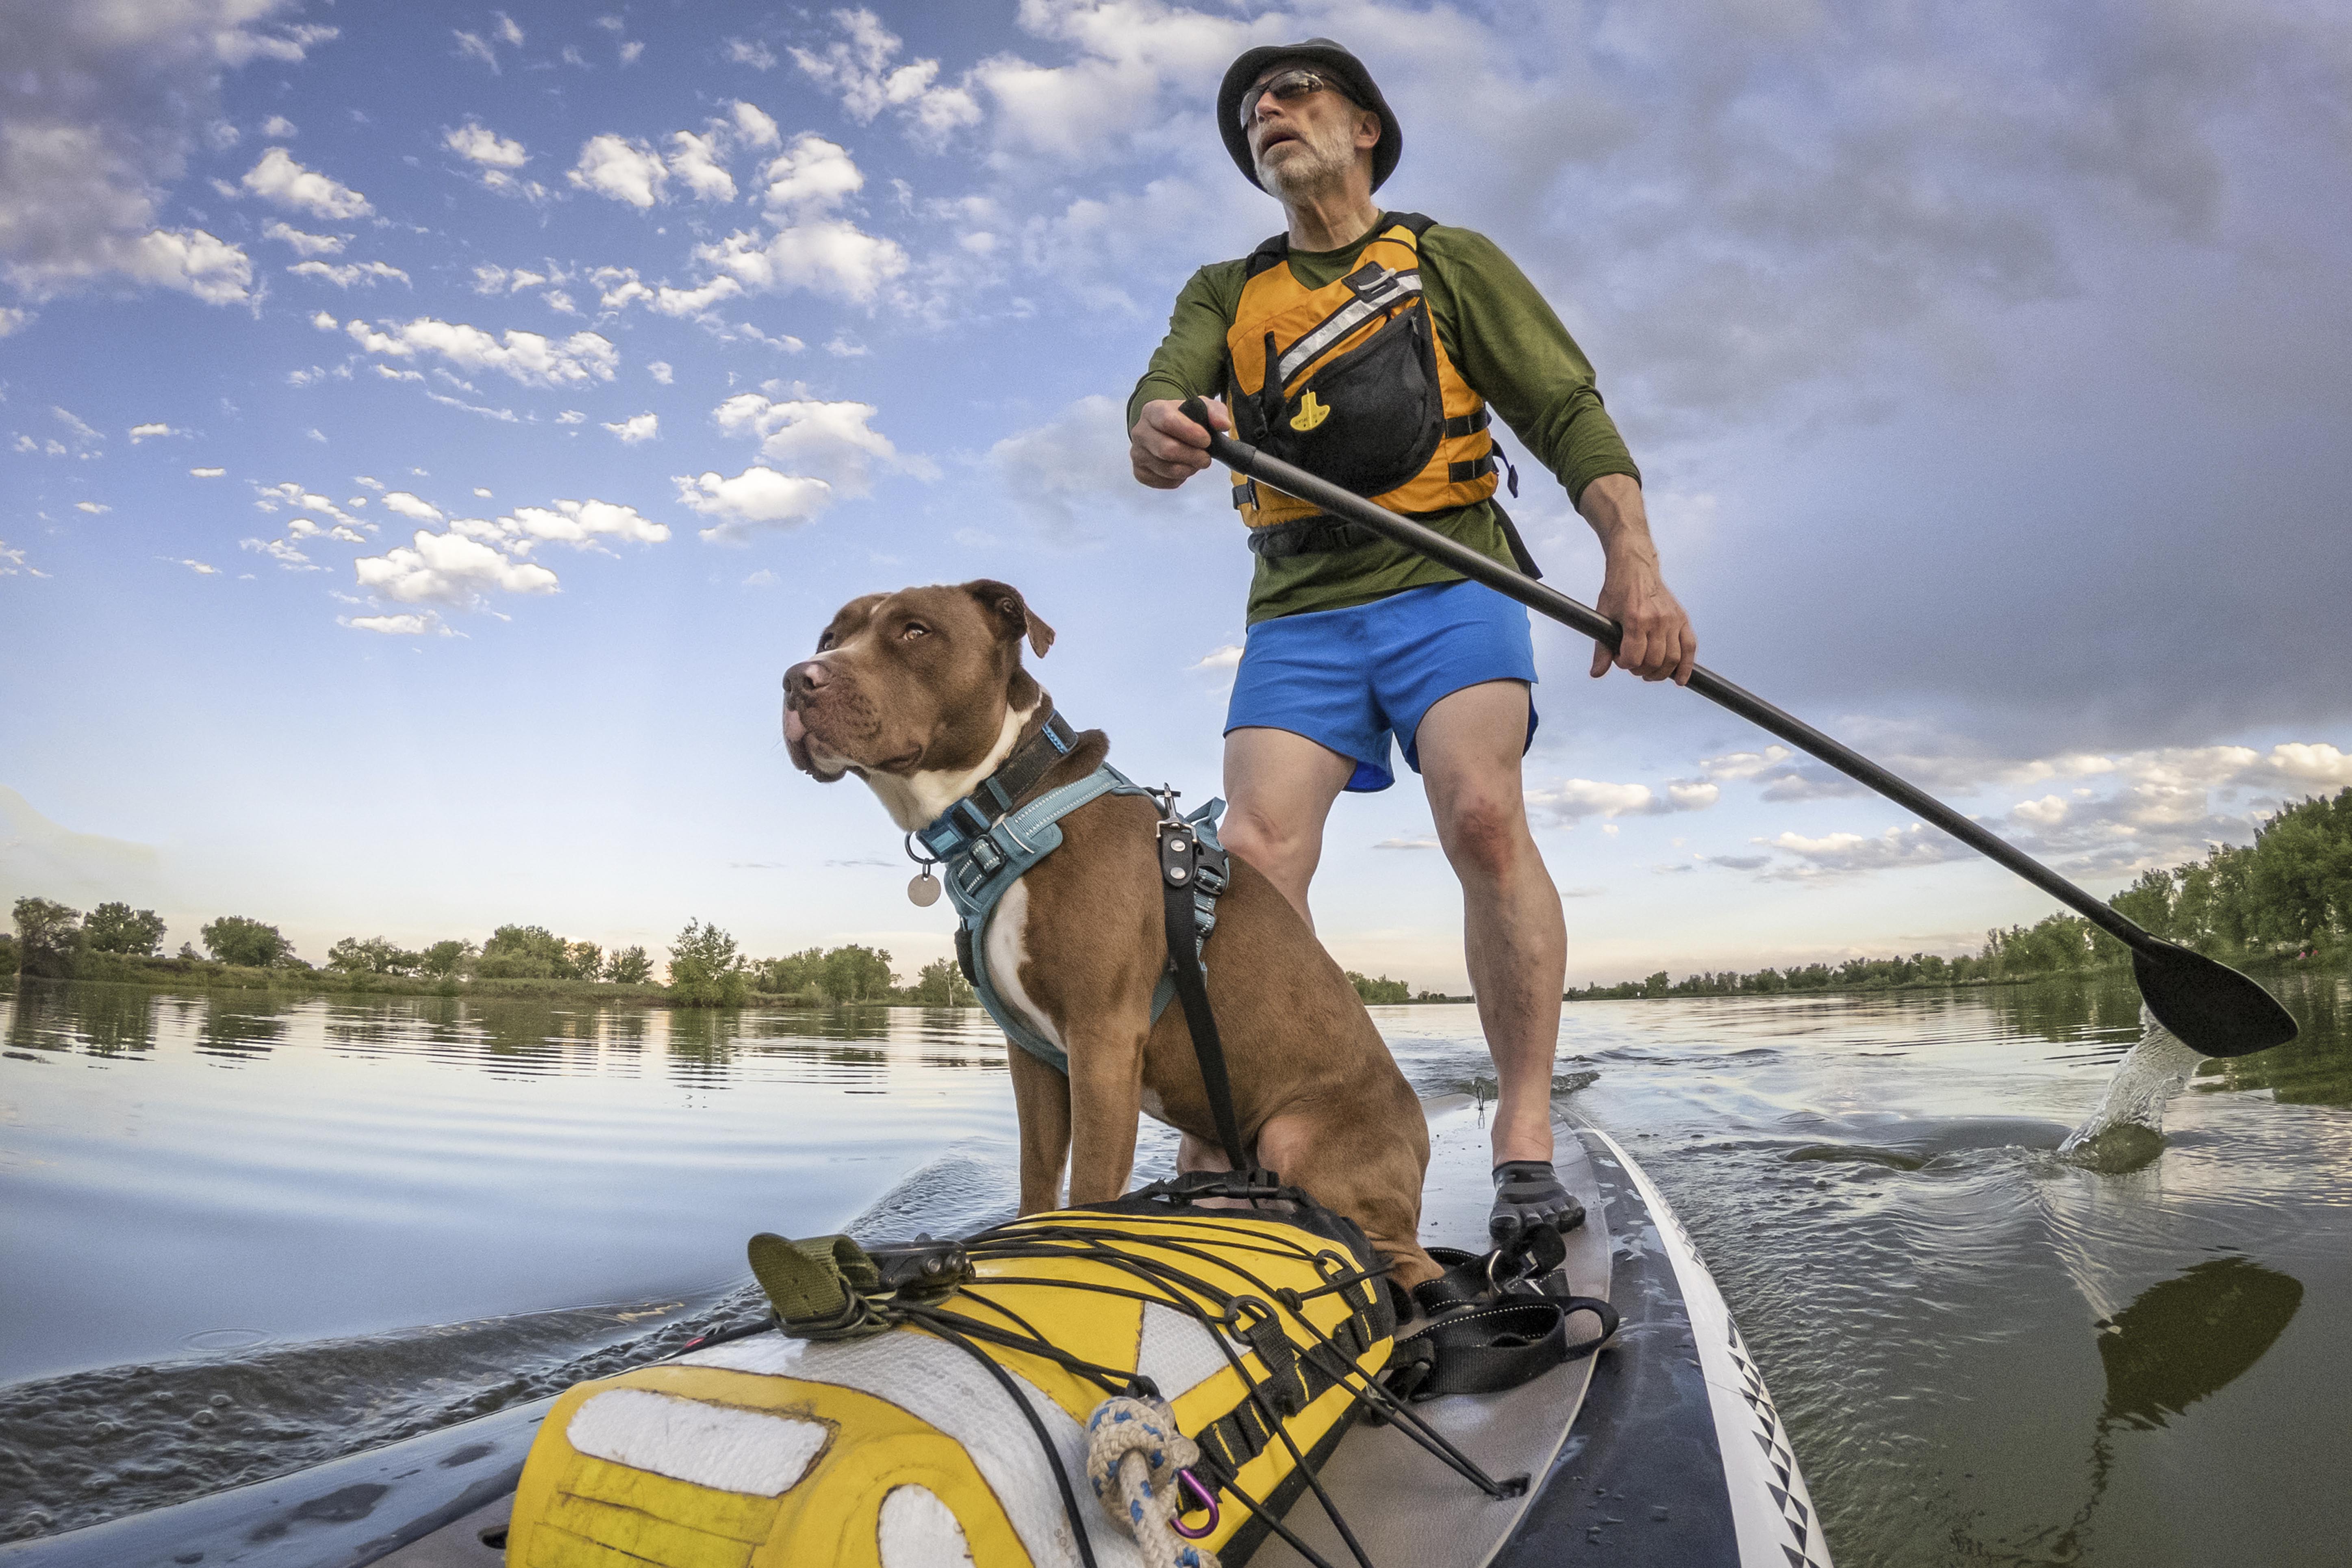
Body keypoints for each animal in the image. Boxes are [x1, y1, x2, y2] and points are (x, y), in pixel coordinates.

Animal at [781, 576, 1439, 1288]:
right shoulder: (1035, 1059)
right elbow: (1038, 1182)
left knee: (1401, 1256)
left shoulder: (1102, 1038)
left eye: (914, 631)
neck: (1007, 805)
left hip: (1299, 1137)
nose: (796, 679)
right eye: (830, 636)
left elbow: (1090, 1190)